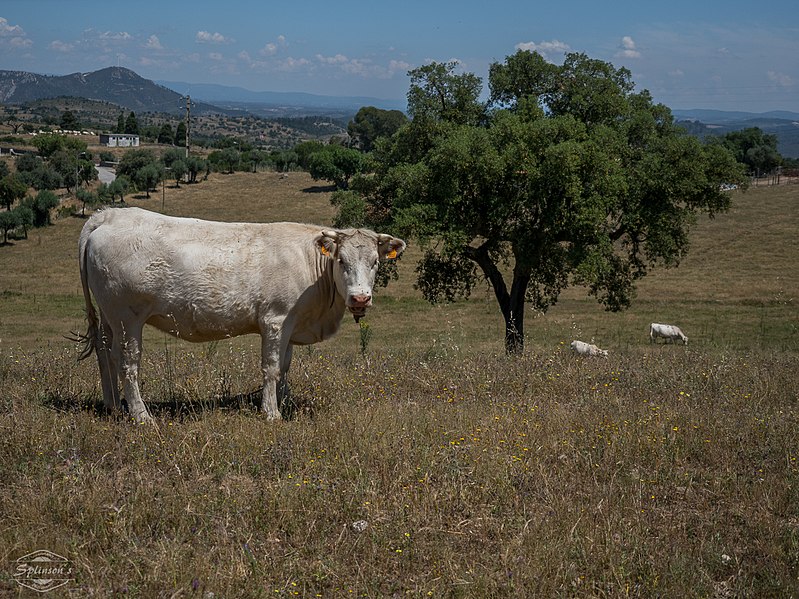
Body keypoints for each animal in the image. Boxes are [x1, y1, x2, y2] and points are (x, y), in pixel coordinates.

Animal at [76, 209, 406, 424]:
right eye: (341, 260)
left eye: (375, 262)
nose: (360, 298)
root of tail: (109, 215)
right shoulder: (275, 319)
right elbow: (271, 367)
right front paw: (271, 413)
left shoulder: (291, 324)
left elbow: (285, 367)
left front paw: (283, 401)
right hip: (126, 317)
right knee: (127, 362)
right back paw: (141, 416)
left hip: (109, 316)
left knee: (105, 354)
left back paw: (113, 406)